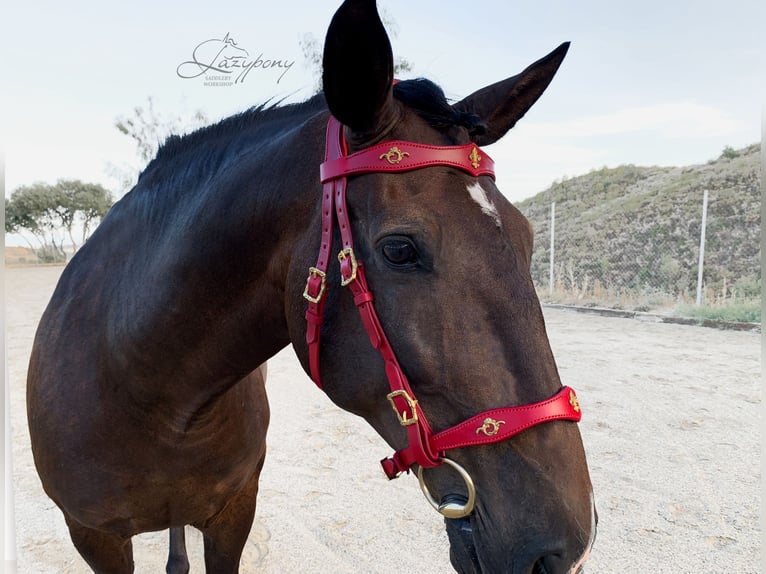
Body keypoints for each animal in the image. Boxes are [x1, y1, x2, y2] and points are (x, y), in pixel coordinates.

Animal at [27, 1, 596, 572]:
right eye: (400, 249)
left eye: (527, 237)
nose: (564, 548)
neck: (147, 391)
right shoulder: (95, 537)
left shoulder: (234, 513)